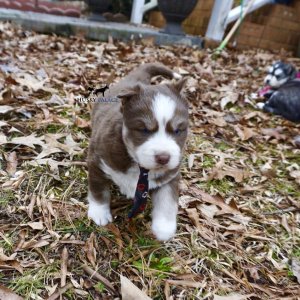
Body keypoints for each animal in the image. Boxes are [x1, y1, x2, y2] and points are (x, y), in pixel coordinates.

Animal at [86, 63, 189, 241]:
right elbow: (98, 190)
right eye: (144, 130)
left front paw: (164, 228)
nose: (164, 158)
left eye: (177, 130)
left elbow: (167, 200)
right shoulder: (97, 161)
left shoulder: (170, 175)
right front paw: (99, 213)